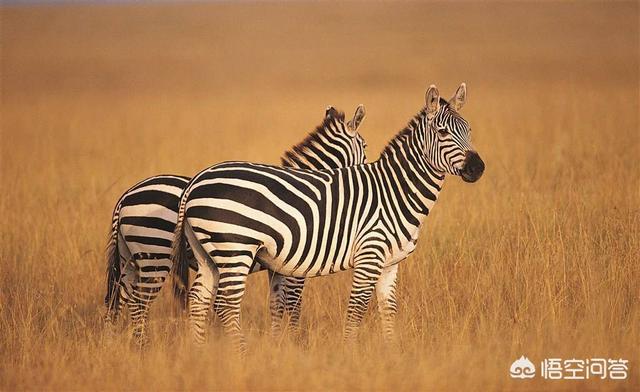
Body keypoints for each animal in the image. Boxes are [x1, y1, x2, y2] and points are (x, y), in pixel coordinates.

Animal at [102, 105, 368, 346]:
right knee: (138, 302)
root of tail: (125, 198)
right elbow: (293, 304)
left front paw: (276, 343)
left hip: (130, 259)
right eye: (365, 147)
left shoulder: (277, 267)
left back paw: (114, 344)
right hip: (155, 254)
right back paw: (142, 345)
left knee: (118, 299)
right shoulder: (295, 264)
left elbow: (276, 305)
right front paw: (294, 342)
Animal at [171, 82, 484, 352]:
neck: (393, 190)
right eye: (442, 132)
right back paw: (242, 355)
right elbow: (353, 310)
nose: (478, 168)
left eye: (469, 130)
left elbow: (388, 311)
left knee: (199, 299)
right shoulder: (365, 257)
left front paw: (391, 354)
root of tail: (196, 180)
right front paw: (347, 355)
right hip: (234, 249)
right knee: (226, 305)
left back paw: (201, 353)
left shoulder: (389, 264)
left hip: (208, 254)